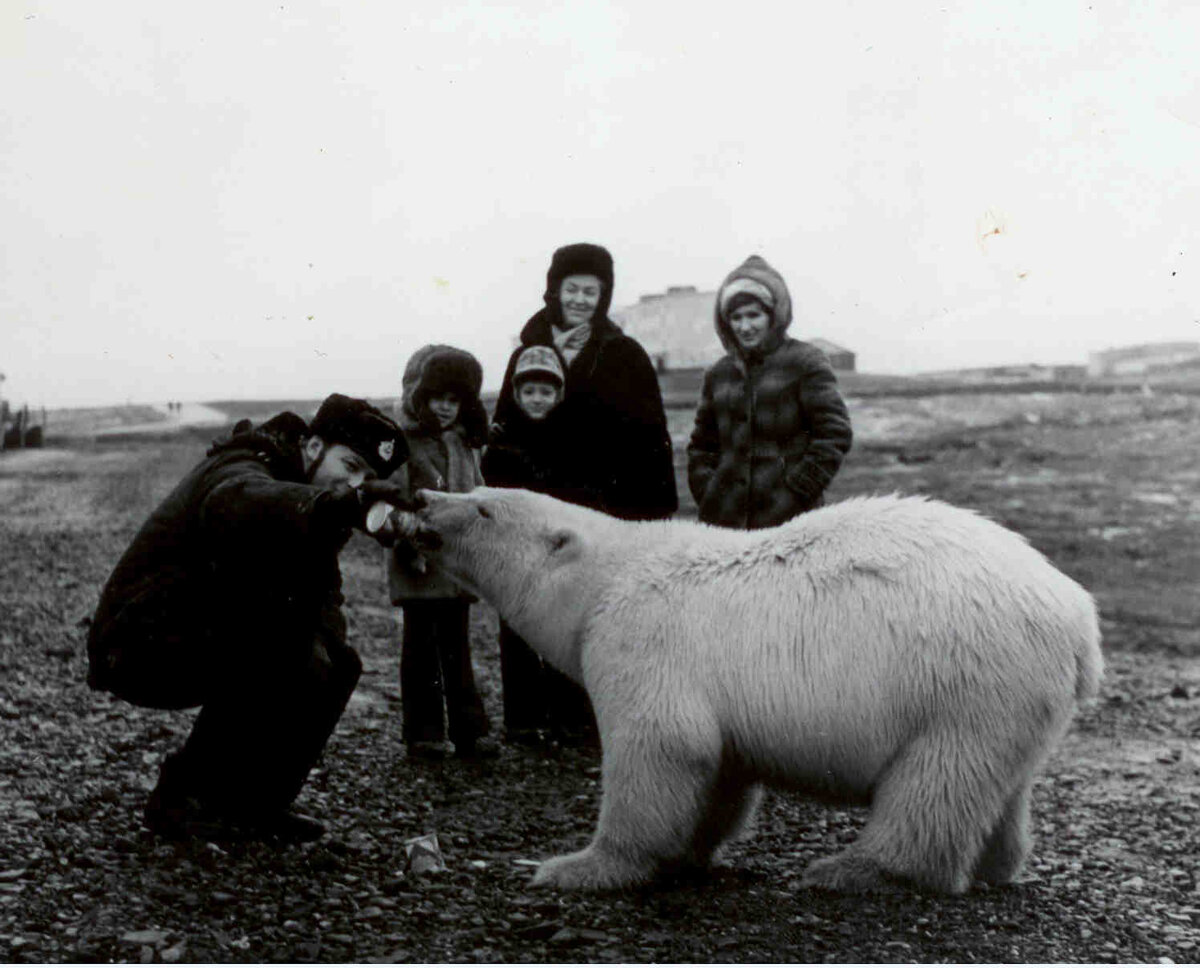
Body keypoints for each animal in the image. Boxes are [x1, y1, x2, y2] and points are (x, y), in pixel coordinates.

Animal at [410, 489, 1099, 897]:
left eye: (483, 507)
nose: (420, 500)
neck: (608, 574)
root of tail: (1079, 619)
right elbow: (718, 772)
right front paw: (685, 853)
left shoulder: (641, 637)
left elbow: (664, 747)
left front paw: (575, 867)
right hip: (1008, 700)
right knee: (997, 785)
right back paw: (994, 866)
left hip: (962, 682)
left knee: (936, 782)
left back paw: (849, 870)